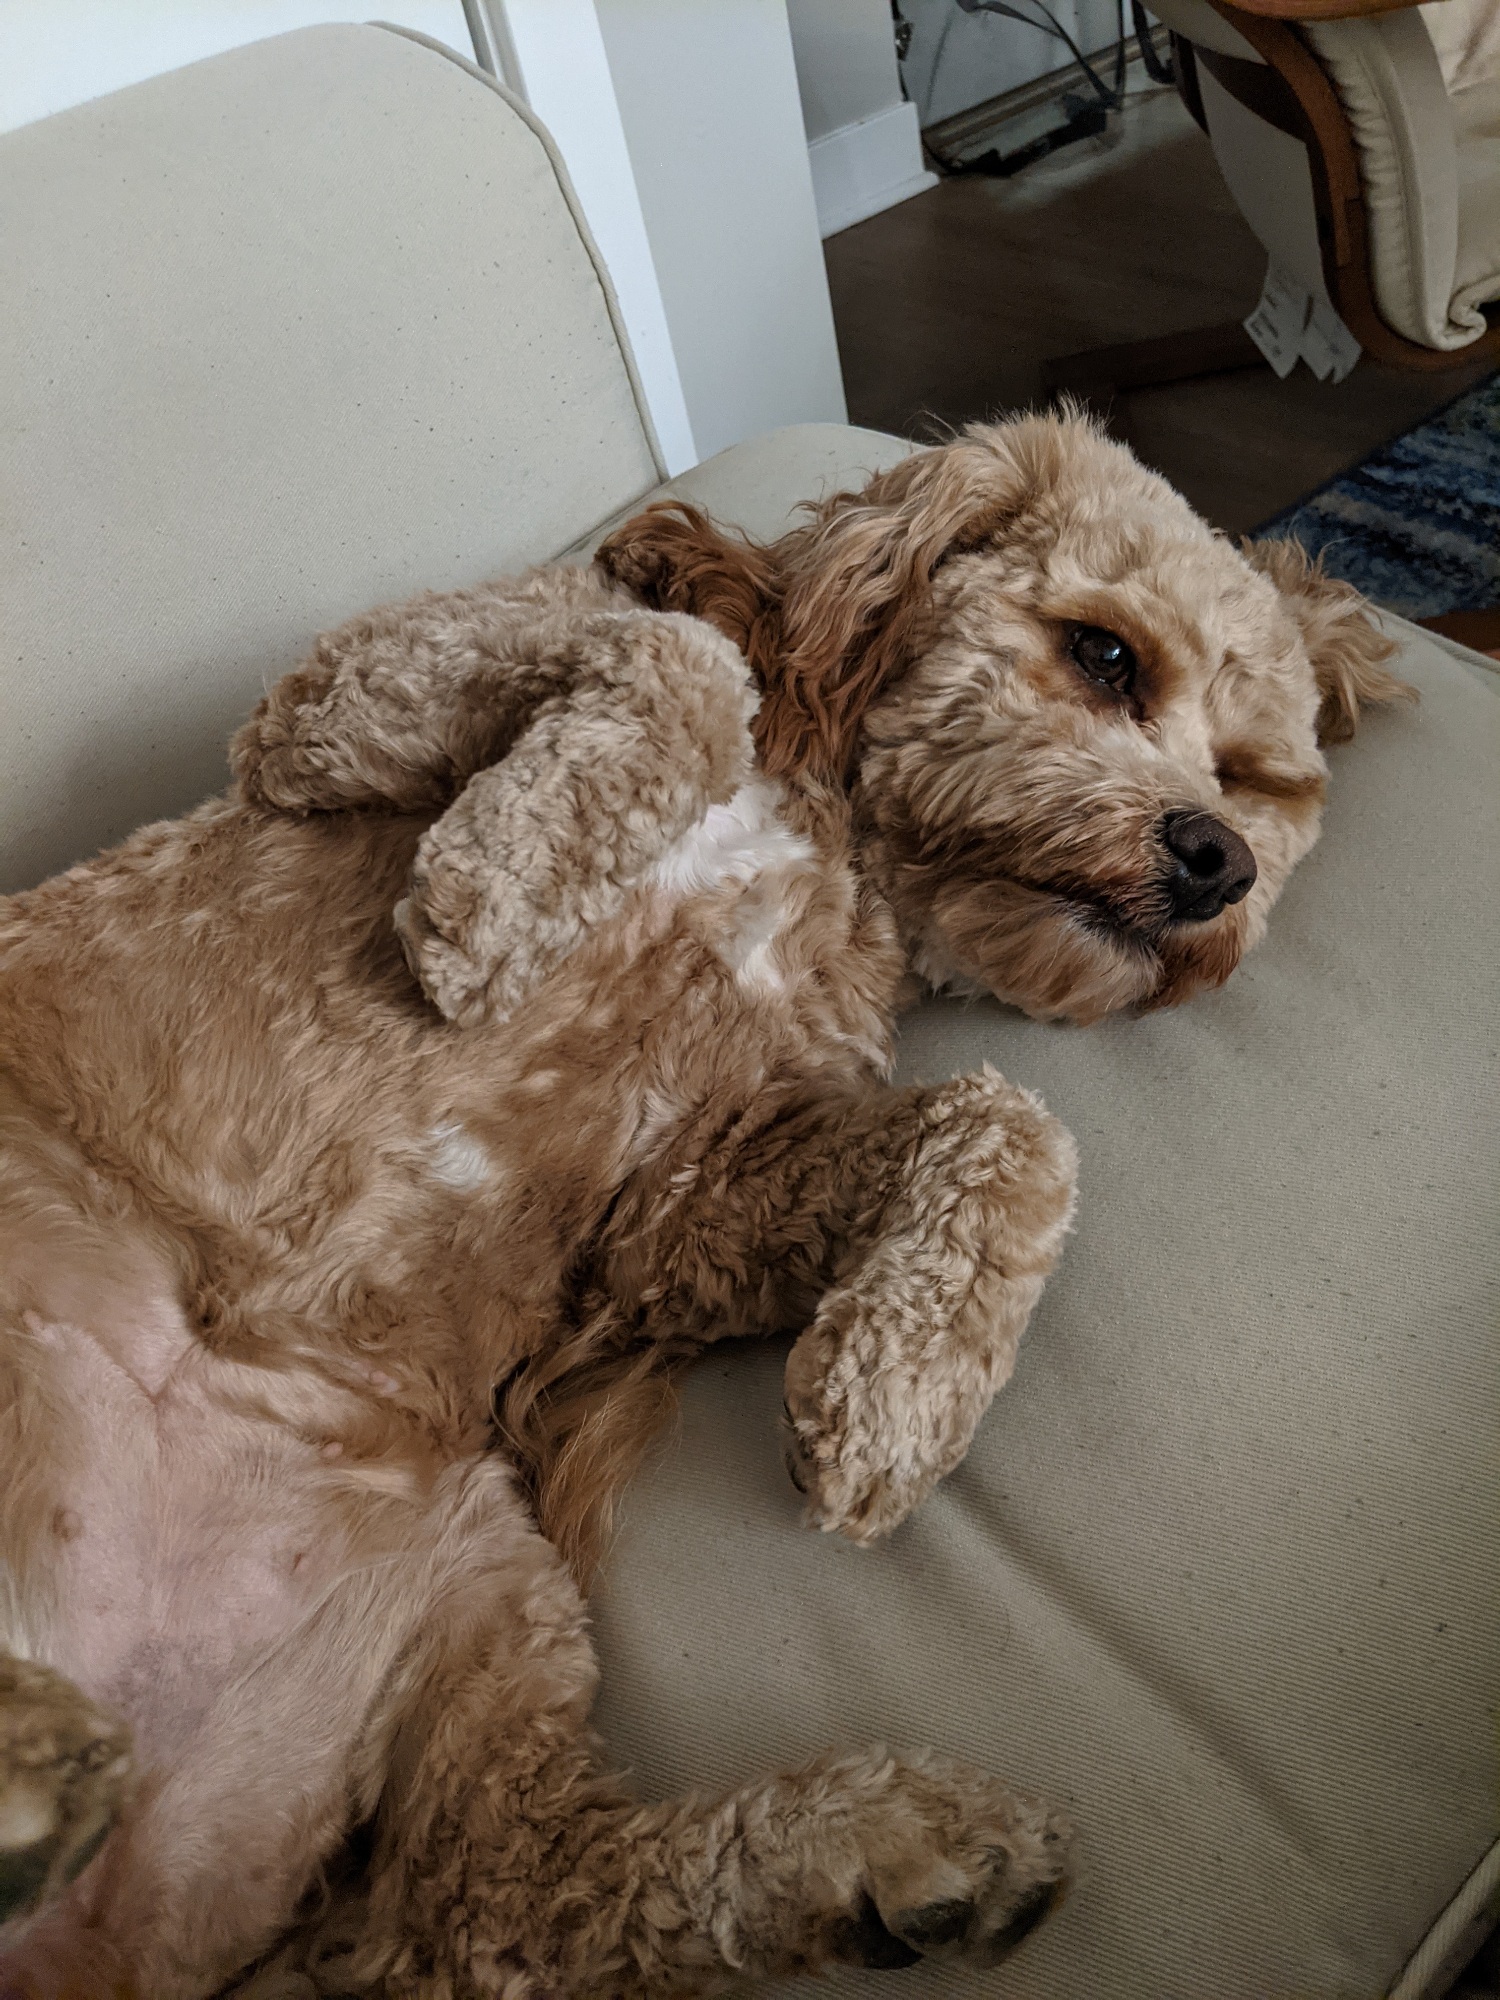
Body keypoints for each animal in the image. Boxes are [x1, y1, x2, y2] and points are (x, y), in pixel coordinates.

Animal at [0, 415, 1408, 1998]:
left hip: (467, 1581)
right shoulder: (333, 702)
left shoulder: (672, 1198)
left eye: (1248, 774)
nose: (1217, 856)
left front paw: (900, 1396)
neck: (837, 834)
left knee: (507, 1905)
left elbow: (1011, 1124)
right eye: (1105, 656)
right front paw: (500, 892)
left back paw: (891, 1853)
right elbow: (679, 652)